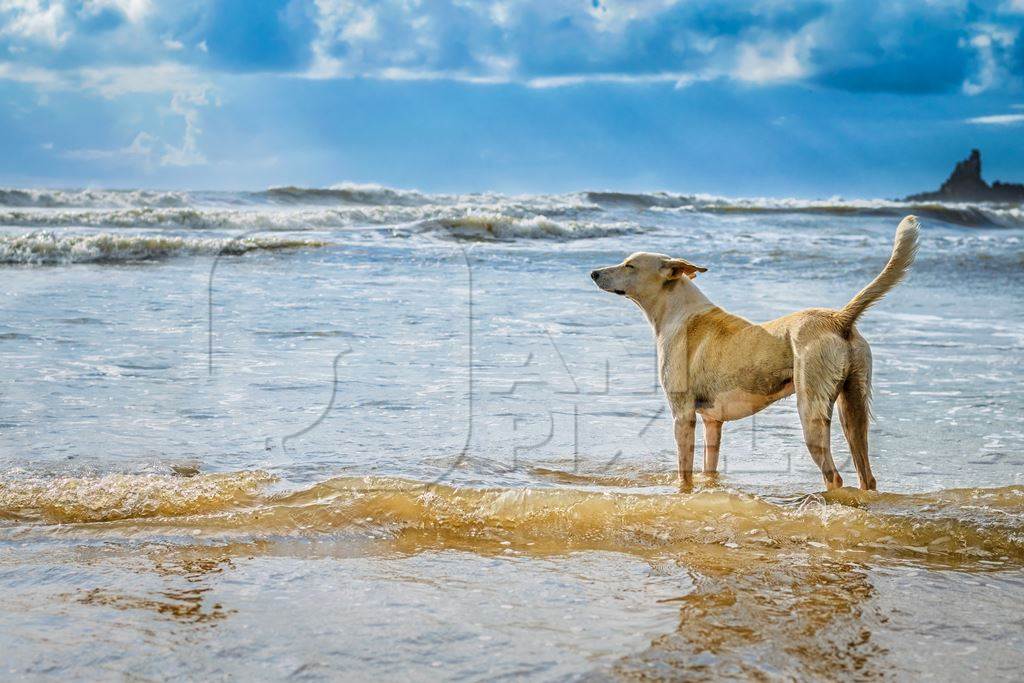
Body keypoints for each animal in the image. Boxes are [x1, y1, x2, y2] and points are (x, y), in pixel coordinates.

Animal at [593, 216, 921, 489]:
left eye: (629, 265)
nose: (594, 273)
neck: (676, 311)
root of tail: (839, 318)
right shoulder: (712, 422)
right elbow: (709, 468)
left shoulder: (682, 415)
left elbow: (684, 472)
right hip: (853, 406)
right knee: (867, 476)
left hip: (811, 411)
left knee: (834, 477)